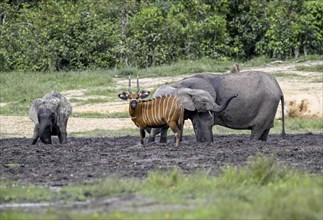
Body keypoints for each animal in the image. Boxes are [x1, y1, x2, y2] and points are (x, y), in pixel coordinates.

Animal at [149, 71, 286, 142]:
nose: (235, 95)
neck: (180, 83)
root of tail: (279, 88)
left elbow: (205, 124)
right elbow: (197, 125)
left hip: (267, 104)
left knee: (257, 129)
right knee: (264, 130)